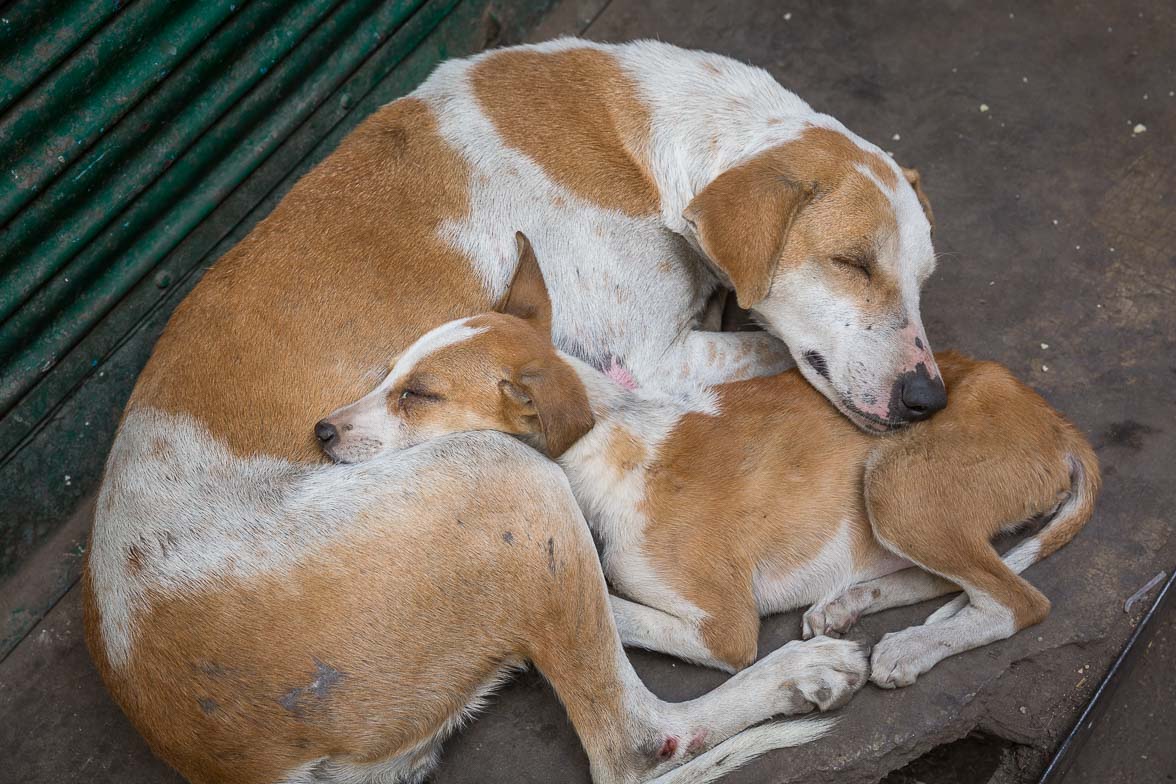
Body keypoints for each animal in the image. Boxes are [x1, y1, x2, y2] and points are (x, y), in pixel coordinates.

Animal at [85, 38, 936, 784]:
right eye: (851, 262)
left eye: (925, 274)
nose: (927, 399)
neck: (651, 142)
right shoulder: (646, 358)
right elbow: (762, 356)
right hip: (507, 478)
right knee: (636, 742)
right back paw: (799, 673)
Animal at [317, 237, 1096, 686]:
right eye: (392, 372)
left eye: (419, 396)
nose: (320, 431)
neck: (611, 445)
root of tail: (1052, 420)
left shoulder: (724, 629)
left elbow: (614, 609)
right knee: (957, 581)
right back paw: (851, 603)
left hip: (895, 485)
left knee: (1016, 602)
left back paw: (912, 649)